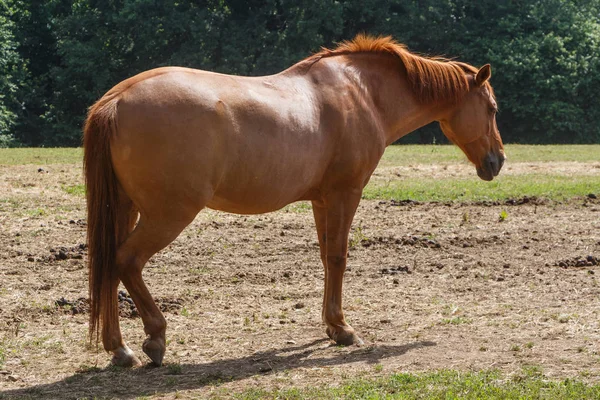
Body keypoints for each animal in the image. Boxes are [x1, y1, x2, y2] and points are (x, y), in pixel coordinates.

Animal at [83, 33, 506, 366]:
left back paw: (119, 349)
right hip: (168, 214)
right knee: (126, 261)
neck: (362, 92)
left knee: (108, 265)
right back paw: (154, 337)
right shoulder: (345, 193)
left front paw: (331, 326)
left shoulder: (322, 200)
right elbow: (338, 257)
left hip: (124, 209)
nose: (497, 161)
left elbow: (326, 257)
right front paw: (342, 328)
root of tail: (117, 100)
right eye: (491, 108)